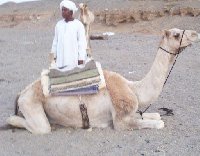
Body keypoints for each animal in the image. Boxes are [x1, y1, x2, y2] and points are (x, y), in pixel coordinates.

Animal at [6, 28, 200, 134]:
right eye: (176, 35)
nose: (195, 33)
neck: (133, 88)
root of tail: (21, 93)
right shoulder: (120, 120)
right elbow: (159, 122)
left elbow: (157, 115)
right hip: (31, 104)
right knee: (37, 126)